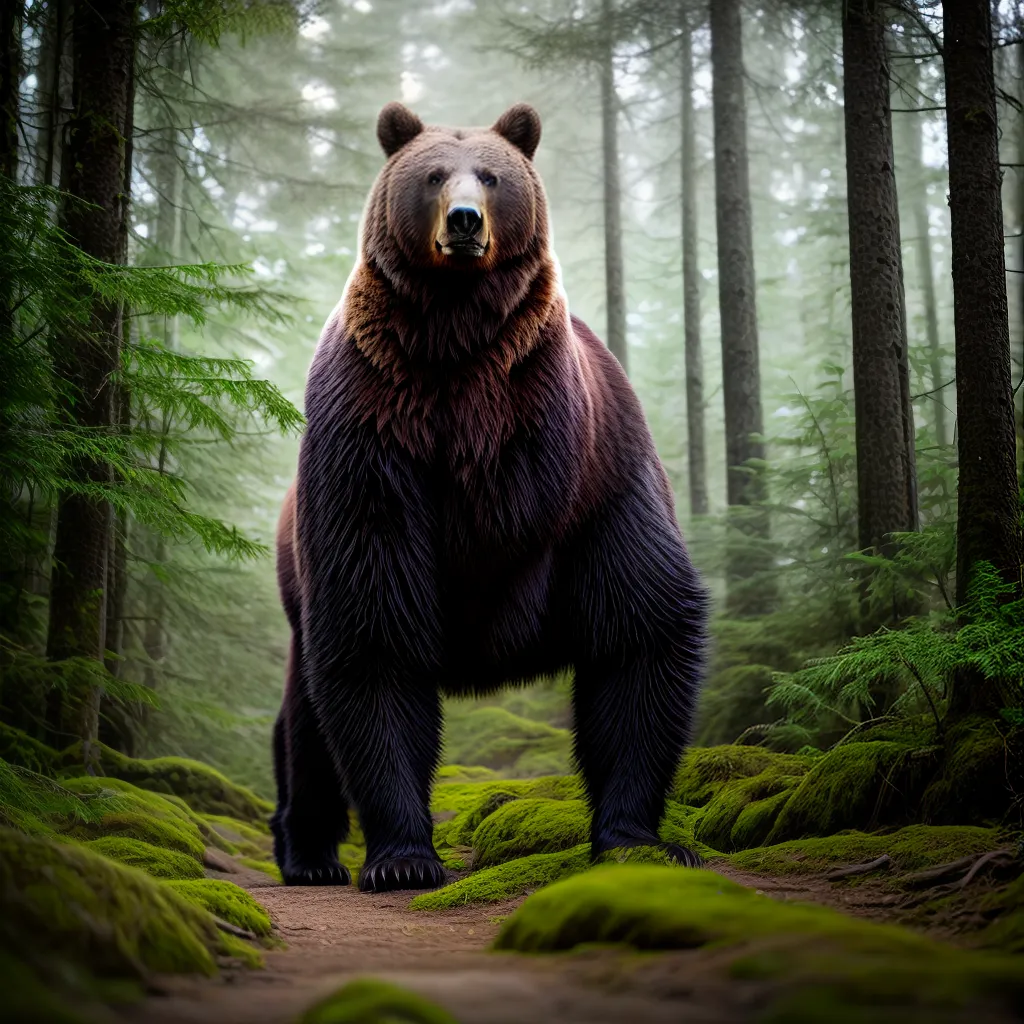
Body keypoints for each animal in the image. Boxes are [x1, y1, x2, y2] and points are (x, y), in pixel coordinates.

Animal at [270, 101, 709, 893]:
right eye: (433, 174)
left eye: (494, 176)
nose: (466, 220)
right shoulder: (373, 440)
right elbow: (373, 630)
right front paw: (404, 857)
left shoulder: (596, 471)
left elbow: (639, 628)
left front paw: (637, 838)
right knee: (306, 720)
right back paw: (310, 854)